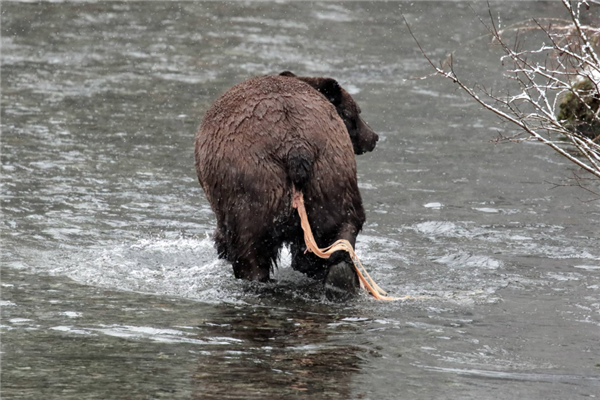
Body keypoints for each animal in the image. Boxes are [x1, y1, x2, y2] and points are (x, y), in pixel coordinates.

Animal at [195, 70, 378, 298]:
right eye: (357, 112)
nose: (373, 137)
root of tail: (295, 144)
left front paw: (222, 249)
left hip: (254, 181)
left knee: (250, 246)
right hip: (330, 173)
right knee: (339, 228)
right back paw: (339, 276)